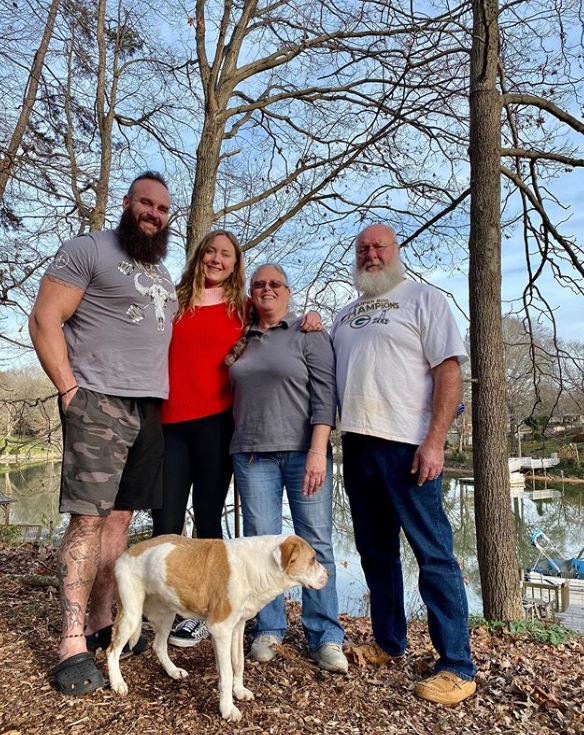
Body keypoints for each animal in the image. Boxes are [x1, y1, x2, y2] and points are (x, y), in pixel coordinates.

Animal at [107, 536, 326, 720]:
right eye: (313, 559)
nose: (328, 575)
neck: (257, 565)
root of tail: (124, 554)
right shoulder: (221, 630)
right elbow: (227, 672)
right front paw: (227, 708)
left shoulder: (236, 627)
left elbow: (237, 663)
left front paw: (238, 691)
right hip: (130, 615)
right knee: (112, 651)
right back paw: (117, 682)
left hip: (167, 614)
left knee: (159, 646)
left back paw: (173, 671)